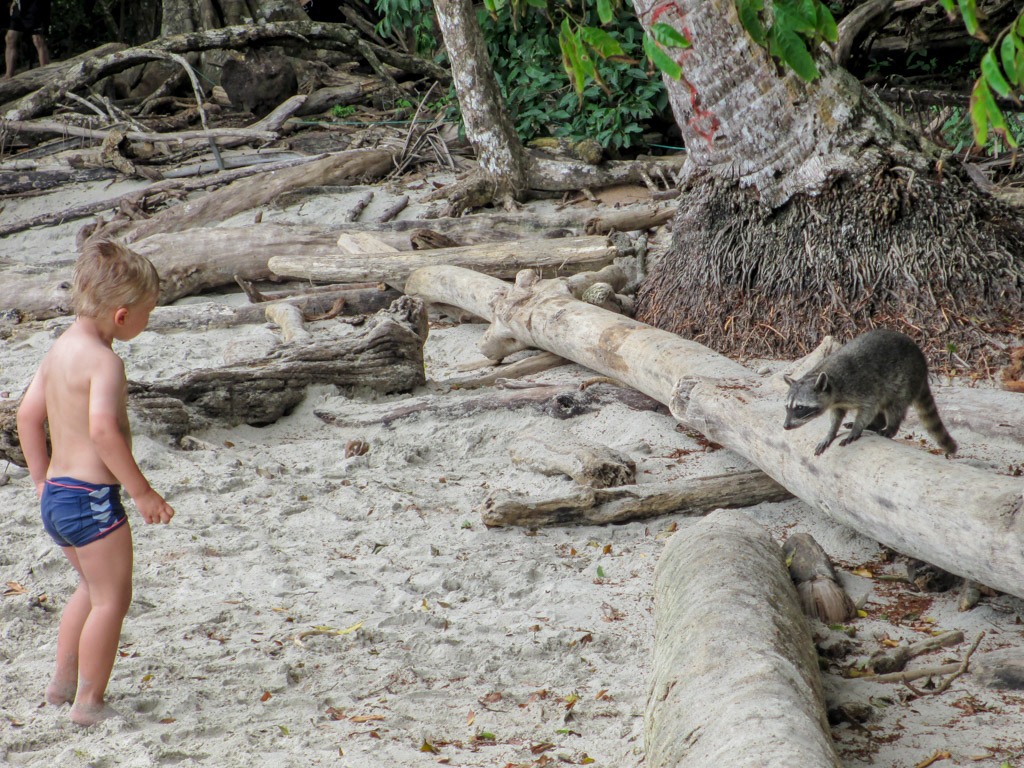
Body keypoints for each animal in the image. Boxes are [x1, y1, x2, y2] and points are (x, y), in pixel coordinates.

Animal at [782, 329, 958, 456]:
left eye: (800, 407)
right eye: (787, 407)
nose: (786, 426)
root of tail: (923, 365)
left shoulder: (861, 385)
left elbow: (869, 407)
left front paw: (857, 429)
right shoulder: (837, 401)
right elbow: (837, 416)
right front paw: (831, 432)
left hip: (906, 379)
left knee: (895, 406)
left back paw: (890, 427)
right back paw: (875, 424)